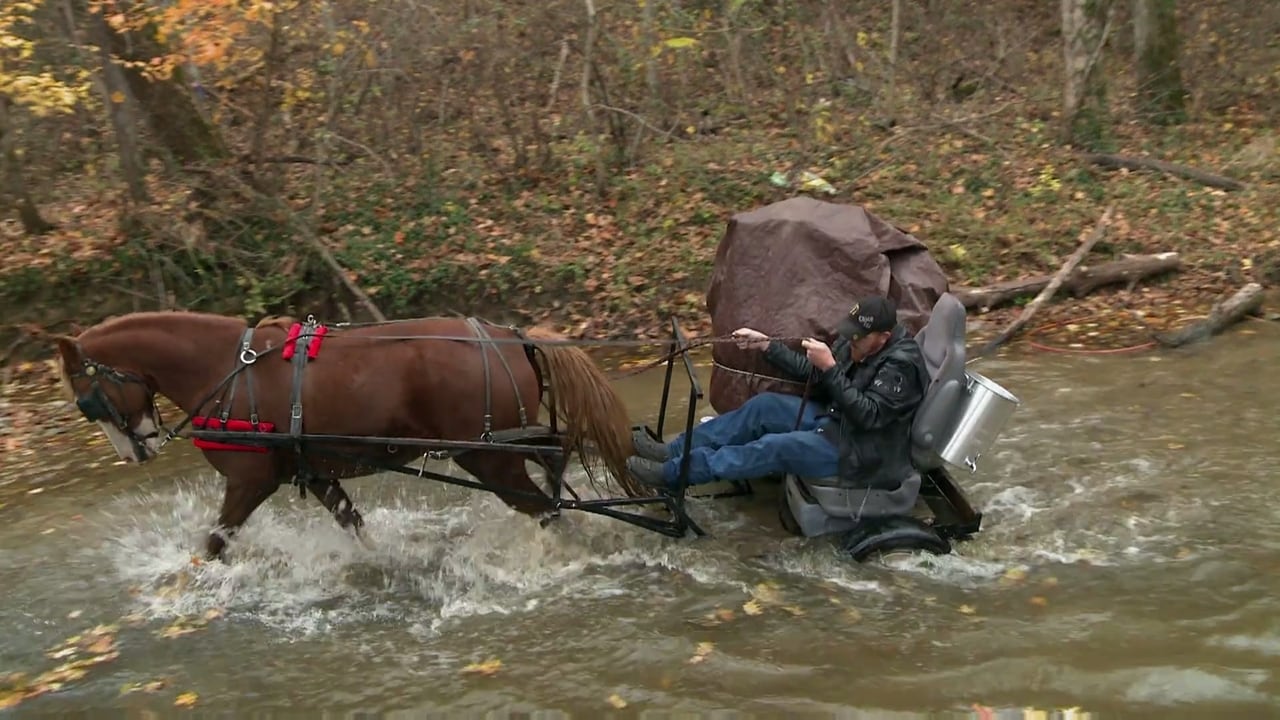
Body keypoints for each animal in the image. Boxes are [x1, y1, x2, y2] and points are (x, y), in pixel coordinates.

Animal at [45, 311, 645, 558]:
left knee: (545, 505)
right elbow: (353, 525)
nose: (136, 450)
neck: (230, 372)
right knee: (554, 464)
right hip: (504, 448)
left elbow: (214, 544)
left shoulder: (248, 482)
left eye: (86, 401)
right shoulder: (314, 473)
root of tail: (507, 335)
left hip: (487, 457)